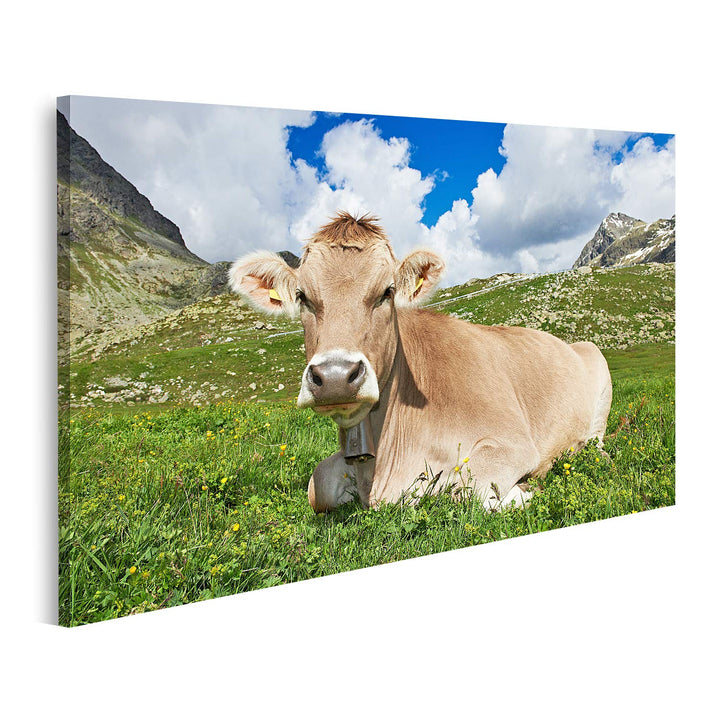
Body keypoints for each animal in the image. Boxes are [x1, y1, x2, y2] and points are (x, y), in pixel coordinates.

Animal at [229, 212, 612, 513]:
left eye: (386, 293)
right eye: (302, 296)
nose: (335, 376)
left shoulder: (513, 441)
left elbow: (471, 488)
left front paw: (520, 493)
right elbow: (317, 485)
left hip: (598, 368)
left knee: (596, 442)